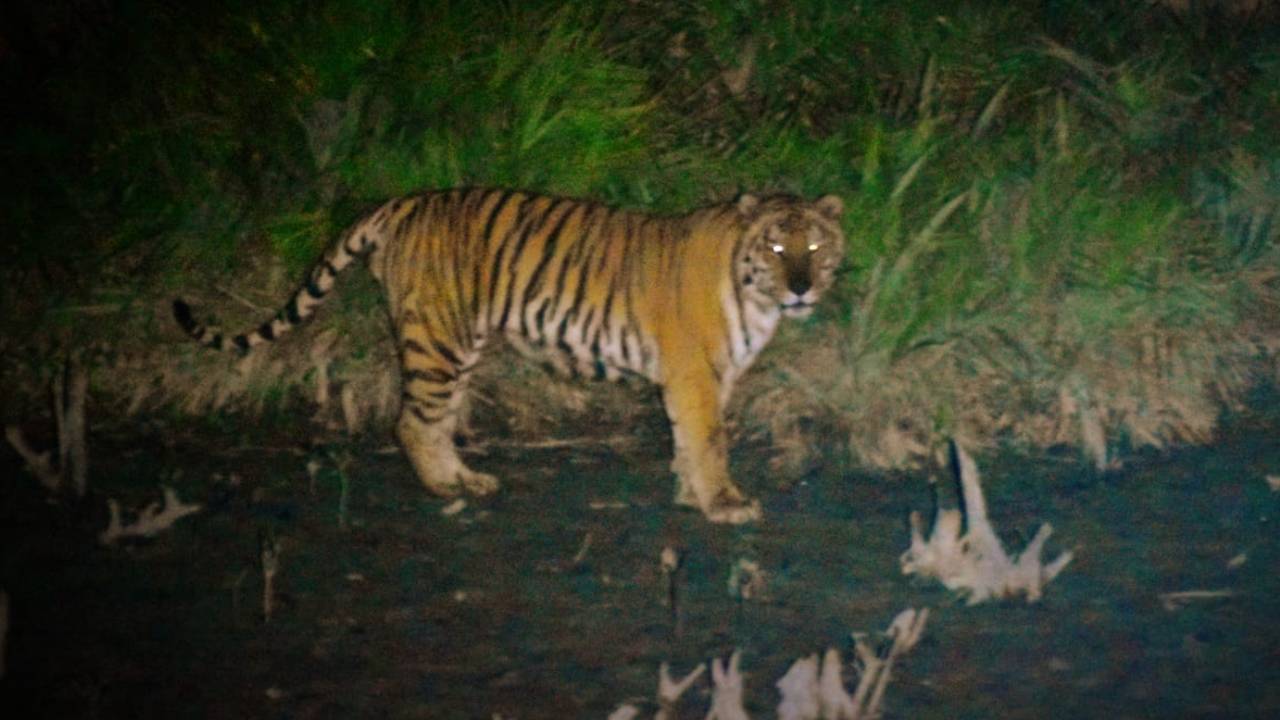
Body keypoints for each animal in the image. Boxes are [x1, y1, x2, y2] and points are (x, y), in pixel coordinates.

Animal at [174, 188, 845, 524]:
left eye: (813, 245)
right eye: (777, 246)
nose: (801, 286)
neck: (757, 298)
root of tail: (404, 202)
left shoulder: (712, 376)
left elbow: (692, 440)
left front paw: (690, 492)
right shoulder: (695, 373)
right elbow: (709, 440)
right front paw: (723, 504)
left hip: (456, 345)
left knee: (437, 419)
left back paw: (466, 478)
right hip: (437, 340)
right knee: (413, 422)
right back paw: (447, 488)